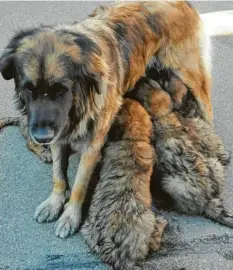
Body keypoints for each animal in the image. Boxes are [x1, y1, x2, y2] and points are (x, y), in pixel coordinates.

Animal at [0, 1, 211, 238]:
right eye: (28, 88)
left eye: (61, 89)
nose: (42, 137)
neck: (80, 102)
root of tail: (182, 3)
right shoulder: (59, 134)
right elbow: (58, 173)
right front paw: (55, 201)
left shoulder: (92, 142)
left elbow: (80, 183)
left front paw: (70, 215)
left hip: (190, 74)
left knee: (206, 104)